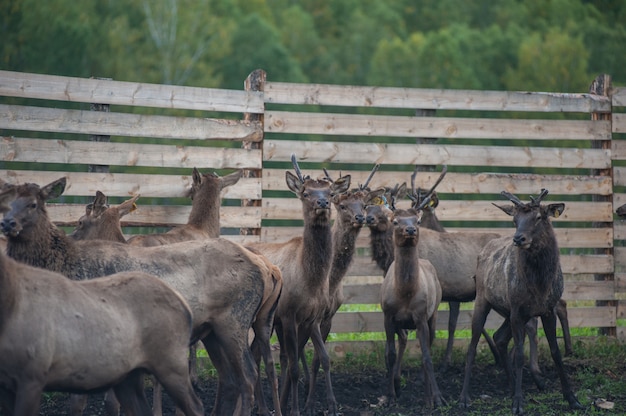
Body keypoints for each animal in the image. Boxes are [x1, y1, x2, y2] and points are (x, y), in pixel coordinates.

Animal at [0, 177, 272, 416]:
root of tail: (260, 268)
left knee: (248, 376)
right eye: (5, 202)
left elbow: (89, 404)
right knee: (229, 380)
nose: (7, 224)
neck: (64, 264)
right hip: (211, 331)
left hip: (234, 320)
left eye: (33, 204)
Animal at [246, 155, 348, 416]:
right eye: (305, 192)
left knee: (255, 354)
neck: (310, 282)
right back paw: (261, 406)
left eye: (330, 192)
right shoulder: (289, 314)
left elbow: (309, 360)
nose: (322, 202)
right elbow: (293, 367)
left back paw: (263, 405)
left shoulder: (312, 318)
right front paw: (293, 409)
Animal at [380, 189, 444, 410]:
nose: (410, 230)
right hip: (401, 323)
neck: (405, 293)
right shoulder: (388, 316)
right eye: (395, 221)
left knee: (428, 346)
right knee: (403, 340)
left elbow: (426, 357)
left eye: (417, 220)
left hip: (433, 314)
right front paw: (389, 396)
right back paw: (397, 384)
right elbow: (389, 355)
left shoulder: (421, 316)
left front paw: (434, 398)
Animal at [456, 190, 584, 414]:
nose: (518, 238)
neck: (540, 285)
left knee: (499, 337)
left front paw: (572, 399)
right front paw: (518, 402)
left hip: (508, 312)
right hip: (483, 300)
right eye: (515, 220)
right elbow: (520, 356)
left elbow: (555, 352)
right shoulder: (517, 310)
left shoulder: (546, 310)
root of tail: (482, 251)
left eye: (539, 216)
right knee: (472, 347)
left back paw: (510, 385)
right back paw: (464, 397)